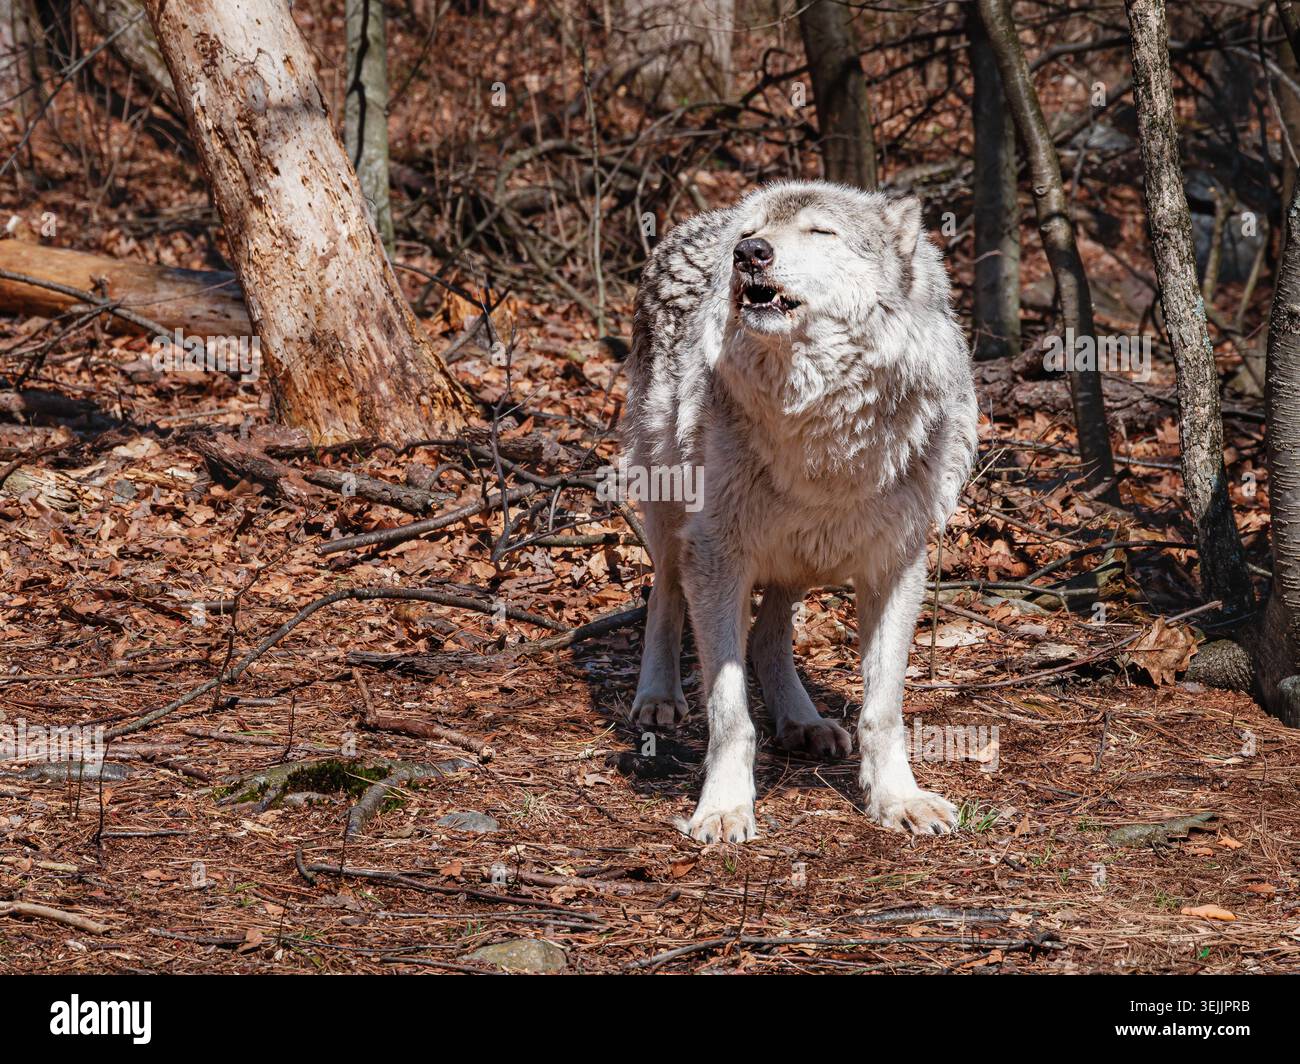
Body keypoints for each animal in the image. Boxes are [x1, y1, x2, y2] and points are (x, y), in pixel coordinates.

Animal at [621, 181, 978, 843]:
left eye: (820, 232)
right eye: (753, 232)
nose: (749, 252)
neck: (820, 423)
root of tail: (691, 223)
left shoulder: (895, 565)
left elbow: (883, 710)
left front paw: (898, 799)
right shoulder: (718, 554)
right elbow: (730, 713)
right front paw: (723, 807)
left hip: (802, 551)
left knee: (768, 636)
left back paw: (803, 723)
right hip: (670, 506)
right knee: (664, 593)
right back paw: (657, 695)